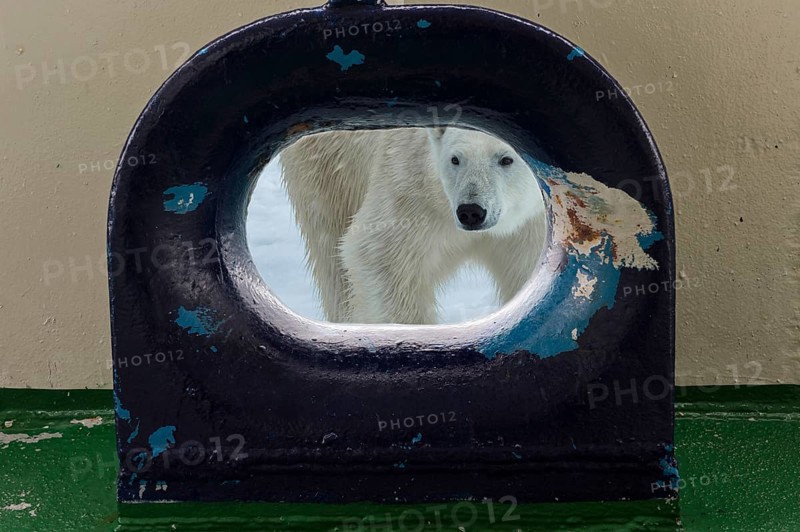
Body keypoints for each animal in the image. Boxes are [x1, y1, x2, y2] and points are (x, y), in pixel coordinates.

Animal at [279, 127, 547, 324]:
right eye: (455, 159)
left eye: (506, 159)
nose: (471, 212)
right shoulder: (409, 187)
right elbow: (380, 257)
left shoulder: (532, 224)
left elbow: (524, 267)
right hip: (327, 167)